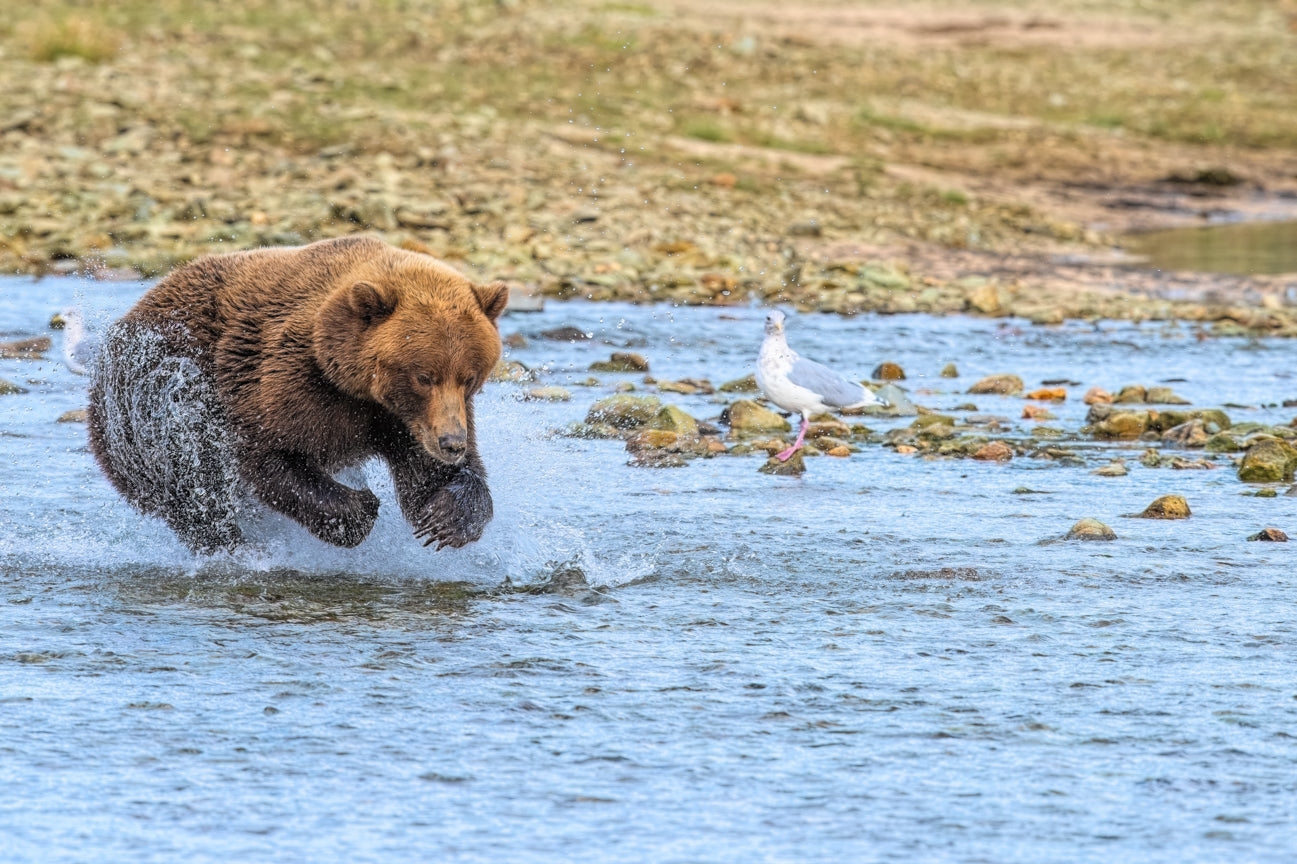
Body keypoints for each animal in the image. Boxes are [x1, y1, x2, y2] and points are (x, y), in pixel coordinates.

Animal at [86, 236, 505, 552]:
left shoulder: (403, 418)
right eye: (423, 376)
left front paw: (444, 518)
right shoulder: (279, 379)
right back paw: (232, 546)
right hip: (153, 408)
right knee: (192, 491)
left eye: (468, 377)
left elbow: (425, 476)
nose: (452, 442)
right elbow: (271, 454)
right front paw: (359, 508)